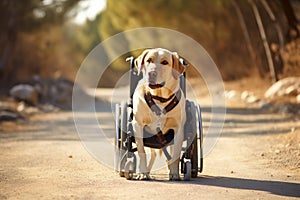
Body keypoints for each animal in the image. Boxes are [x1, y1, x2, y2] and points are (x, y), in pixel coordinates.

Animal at [133, 48, 186, 180]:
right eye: (149, 60)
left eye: (165, 62)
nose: (151, 73)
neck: (159, 98)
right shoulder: (138, 125)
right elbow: (141, 152)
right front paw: (142, 173)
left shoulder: (178, 129)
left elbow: (176, 154)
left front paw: (174, 173)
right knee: (153, 154)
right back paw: (146, 171)